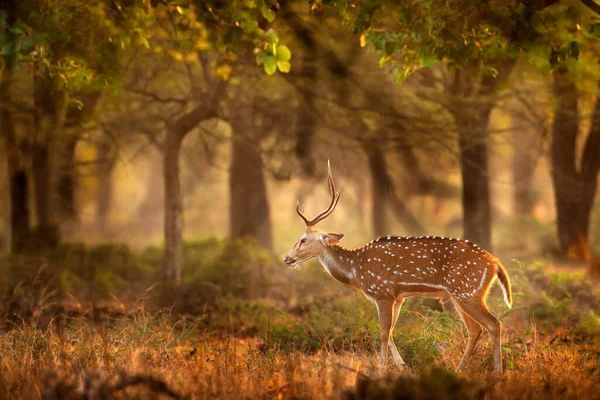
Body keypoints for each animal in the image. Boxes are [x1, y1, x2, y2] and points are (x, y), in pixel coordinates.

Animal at [282, 161, 510, 374]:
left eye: (302, 240)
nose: (286, 258)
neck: (356, 270)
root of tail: (495, 263)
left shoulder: (382, 292)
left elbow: (383, 332)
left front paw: (381, 368)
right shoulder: (398, 297)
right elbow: (391, 331)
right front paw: (402, 365)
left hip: (468, 291)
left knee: (493, 324)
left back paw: (497, 371)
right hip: (459, 296)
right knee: (475, 330)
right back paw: (459, 368)